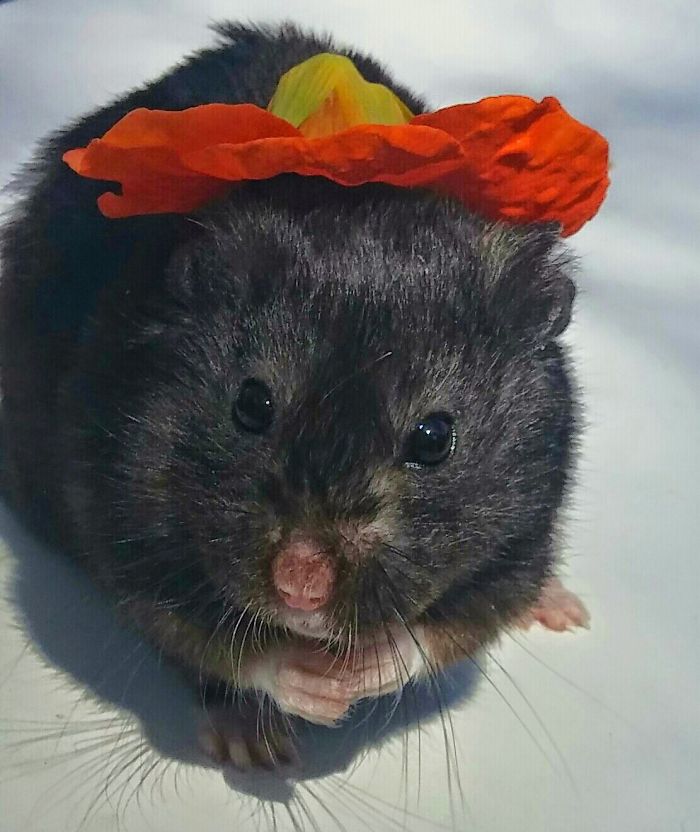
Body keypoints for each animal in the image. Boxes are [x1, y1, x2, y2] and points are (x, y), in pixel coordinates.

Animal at [0, 22, 589, 763]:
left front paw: (358, 670)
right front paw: (312, 691)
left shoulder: (520, 541)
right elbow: (223, 644)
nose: (300, 588)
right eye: (251, 405)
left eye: (435, 439)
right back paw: (251, 742)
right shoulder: (124, 524)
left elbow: (434, 636)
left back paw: (563, 604)